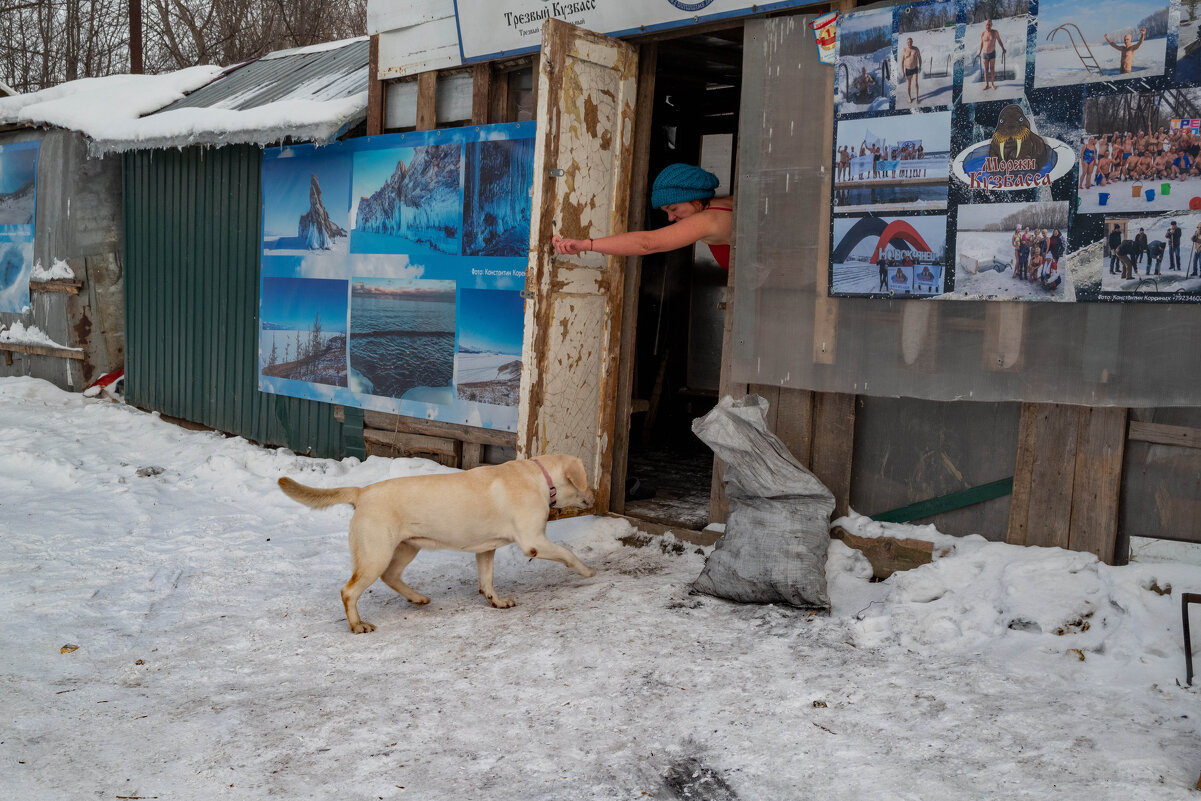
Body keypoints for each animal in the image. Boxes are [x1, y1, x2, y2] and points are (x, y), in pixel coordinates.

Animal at [277, 456, 595, 634]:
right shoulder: (534, 542)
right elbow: (567, 553)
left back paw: (417, 598)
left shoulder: (485, 549)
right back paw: (358, 625)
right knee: (349, 591)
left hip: (406, 548)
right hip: (376, 554)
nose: (595, 494)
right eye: (587, 479)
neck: (540, 477)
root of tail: (362, 491)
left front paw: (496, 601)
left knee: (390, 576)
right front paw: (588, 571)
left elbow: (487, 580)